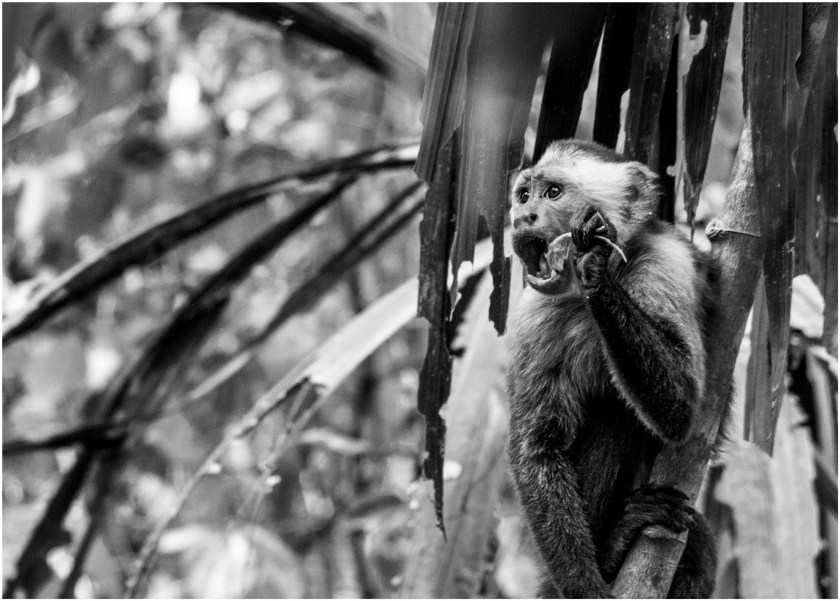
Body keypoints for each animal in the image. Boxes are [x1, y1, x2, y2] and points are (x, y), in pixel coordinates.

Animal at [506, 139, 720, 598]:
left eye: (553, 193)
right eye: (524, 195)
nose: (521, 217)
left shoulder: (666, 265)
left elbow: (680, 409)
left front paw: (594, 266)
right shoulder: (534, 313)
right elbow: (537, 448)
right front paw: (586, 586)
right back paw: (611, 549)